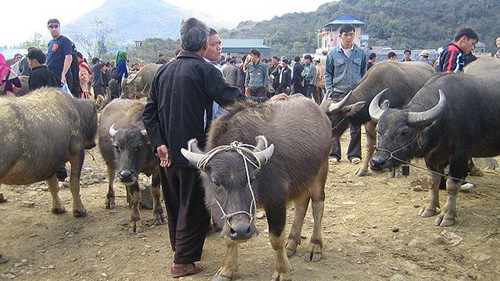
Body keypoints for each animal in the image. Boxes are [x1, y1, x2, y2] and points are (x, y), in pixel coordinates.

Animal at [0, 87, 97, 217]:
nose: (93, 144)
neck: (76, 110)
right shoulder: (77, 153)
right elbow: (74, 184)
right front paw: (79, 210)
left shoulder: (49, 162)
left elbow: (53, 186)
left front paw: (58, 207)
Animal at [98, 98, 165, 232]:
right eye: (117, 147)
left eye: (138, 146)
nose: (125, 175)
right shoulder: (133, 173)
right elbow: (136, 195)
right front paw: (135, 222)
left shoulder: (157, 169)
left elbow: (156, 191)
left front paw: (158, 214)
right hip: (111, 164)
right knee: (111, 179)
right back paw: (110, 200)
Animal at [181, 95, 332, 278]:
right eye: (216, 182)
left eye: (251, 179)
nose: (241, 230)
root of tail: (321, 112)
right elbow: (229, 238)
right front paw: (227, 270)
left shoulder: (276, 200)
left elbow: (276, 239)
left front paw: (282, 271)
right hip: (302, 179)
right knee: (301, 203)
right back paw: (292, 243)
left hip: (321, 170)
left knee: (317, 202)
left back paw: (315, 246)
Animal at [368, 58, 500, 226]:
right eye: (378, 129)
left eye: (404, 132)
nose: (376, 162)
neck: (444, 119)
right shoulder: (431, 156)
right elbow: (433, 181)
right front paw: (430, 208)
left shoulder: (460, 156)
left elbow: (451, 185)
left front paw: (447, 215)